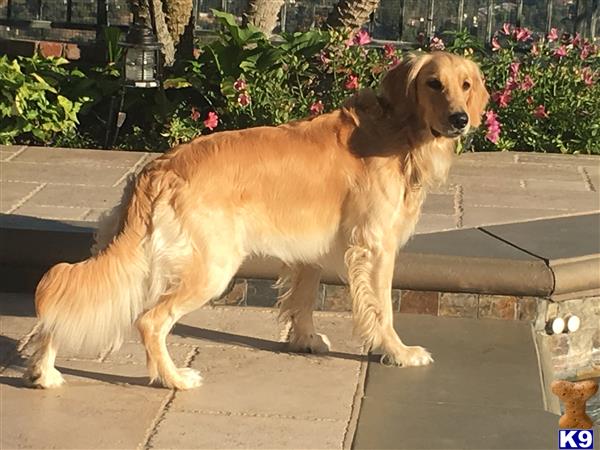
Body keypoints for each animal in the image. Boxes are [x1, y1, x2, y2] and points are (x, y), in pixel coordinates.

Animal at [25, 51, 490, 388]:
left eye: (465, 85)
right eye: (433, 83)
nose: (460, 119)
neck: (398, 130)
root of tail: (160, 168)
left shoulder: (310, 250)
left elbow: (303, 300)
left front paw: (304, 340)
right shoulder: (374, 246)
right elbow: (382, 311)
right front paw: (398, 352)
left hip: (139, 259)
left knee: (67, 301)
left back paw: (44, 373)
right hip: (210, 267)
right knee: (150, 321)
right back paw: (174, 379)